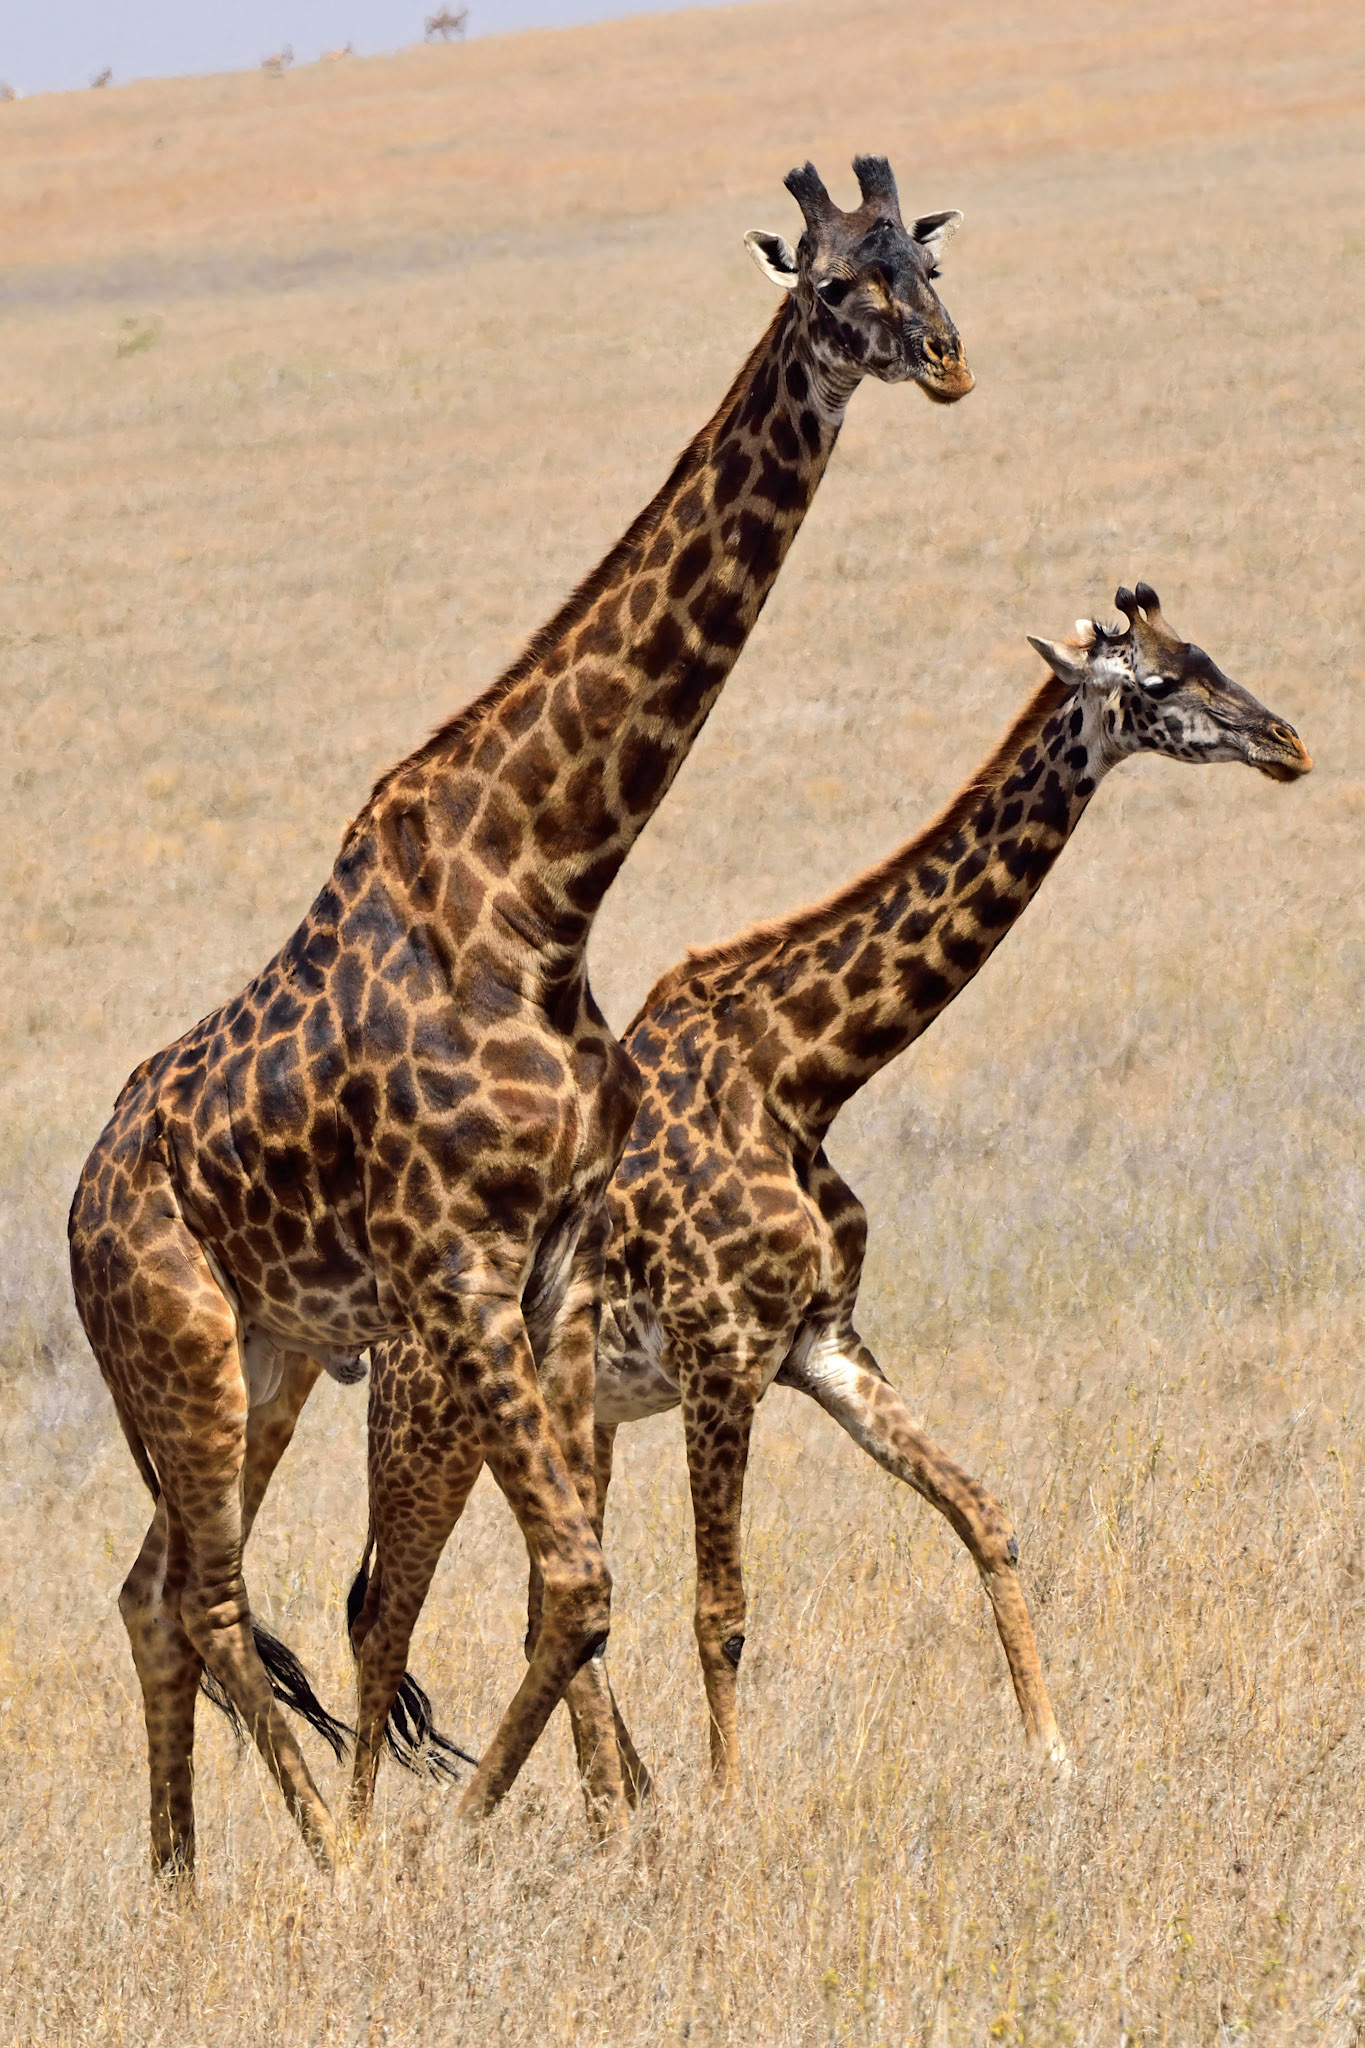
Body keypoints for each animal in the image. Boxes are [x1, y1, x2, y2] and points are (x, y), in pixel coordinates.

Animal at [68, 154, 975, 1877]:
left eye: (928, 260)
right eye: (832, 285)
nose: (947, 360)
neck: (540, 884)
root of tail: (75, 1222)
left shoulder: (547, 1276)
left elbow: (566, 1589)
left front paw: (592, 1828)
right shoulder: (460, 1262)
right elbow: (567, 1583)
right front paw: (467, 1842)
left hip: (273, 1358)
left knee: (157, 1590)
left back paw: (183, 1890)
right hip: (186, 1349)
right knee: (210, 1597)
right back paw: (336, 1867)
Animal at [348, 583, 1311, 1804]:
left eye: (1206, 652)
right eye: (1156, 682)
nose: (1287, 742)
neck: (800, 1075)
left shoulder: (823, 1344)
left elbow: (984, 1514)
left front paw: (1053, 1754)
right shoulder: (722, 1361)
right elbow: (720, 1610)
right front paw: (732, 1807)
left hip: (574, 1413)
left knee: (539, 1603)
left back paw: (625, 1806)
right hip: (434, 1417)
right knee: (384, 1615)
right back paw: (390, 1832)